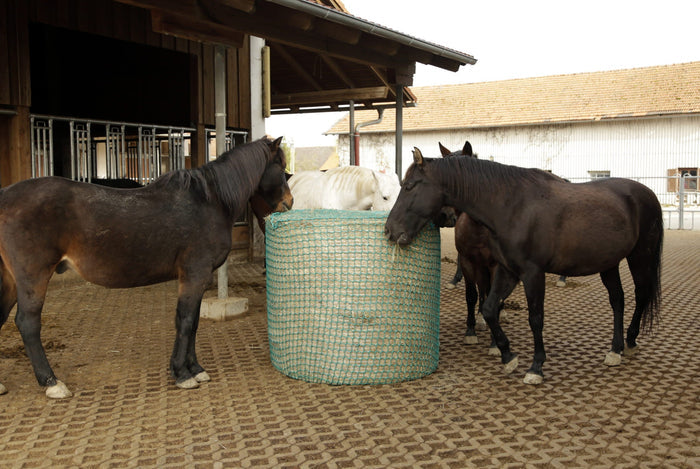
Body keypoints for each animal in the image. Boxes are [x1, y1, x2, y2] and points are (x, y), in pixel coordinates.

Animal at [0, 136, 293, 398]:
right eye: (281, 169)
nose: (289, 203)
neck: (209, 201)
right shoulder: (194, 274)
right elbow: (186, 320)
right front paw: (182, 374)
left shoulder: (197, 278)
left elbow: (194, 321)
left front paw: (195, 368)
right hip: (33, 277)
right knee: (27, 323)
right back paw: (51, 382)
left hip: (11, 280)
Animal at [385, 147, 663, 385]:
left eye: (409, 186)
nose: (390, 230)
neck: (513, 207)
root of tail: (646, 193)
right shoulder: (507, 270)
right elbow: (489, 308)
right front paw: (508, 356)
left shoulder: (532, 273)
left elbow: (535, 318)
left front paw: (536, 367)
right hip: (608, 263)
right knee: (617, 300)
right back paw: (615, 349)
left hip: (640, 257)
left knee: (641, 295)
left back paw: (630, 340)